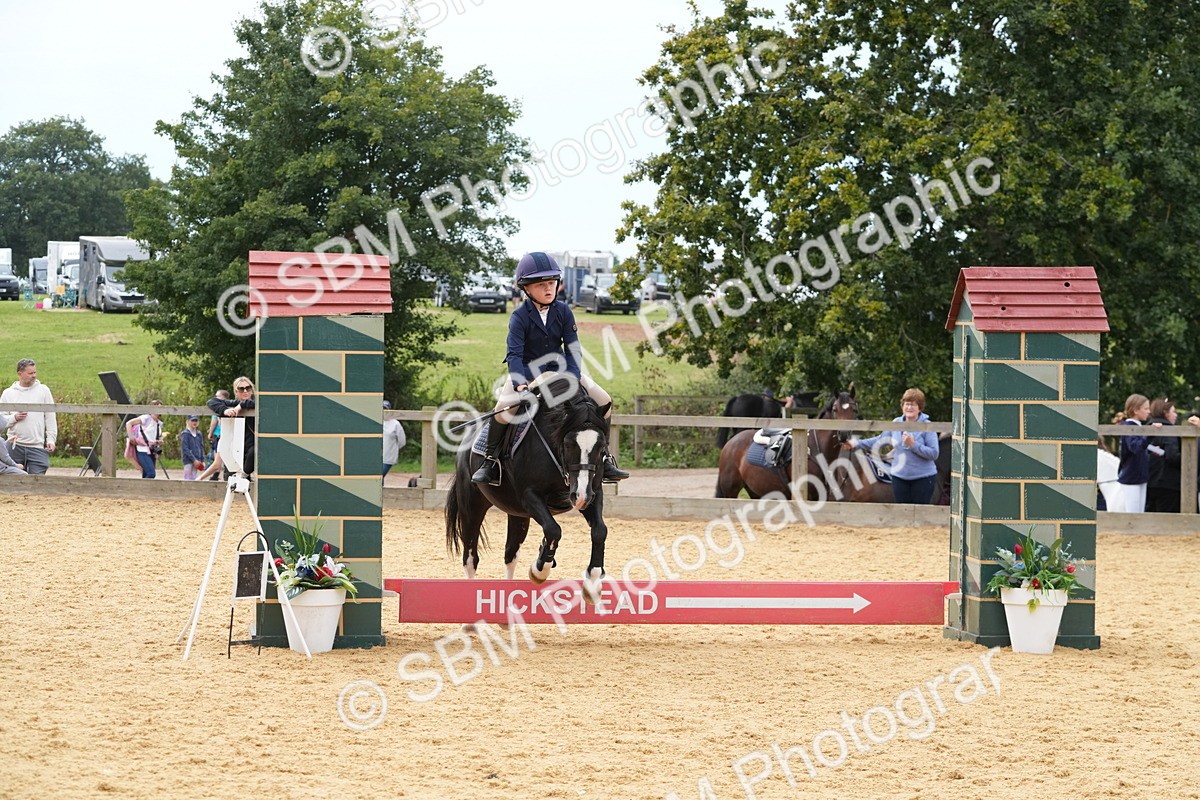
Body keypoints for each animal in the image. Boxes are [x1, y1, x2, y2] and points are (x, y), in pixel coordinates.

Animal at [445, 375, 611, 596]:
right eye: (568, 445)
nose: (580, 497)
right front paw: (539, 570)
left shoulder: (592, 492)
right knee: (470, 557)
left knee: (510, 553)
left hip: (517, 513)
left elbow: (600, 530)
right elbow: (553, 530)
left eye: (601, 446)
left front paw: (593, 581)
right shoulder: (530, 496)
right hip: (472, 506)